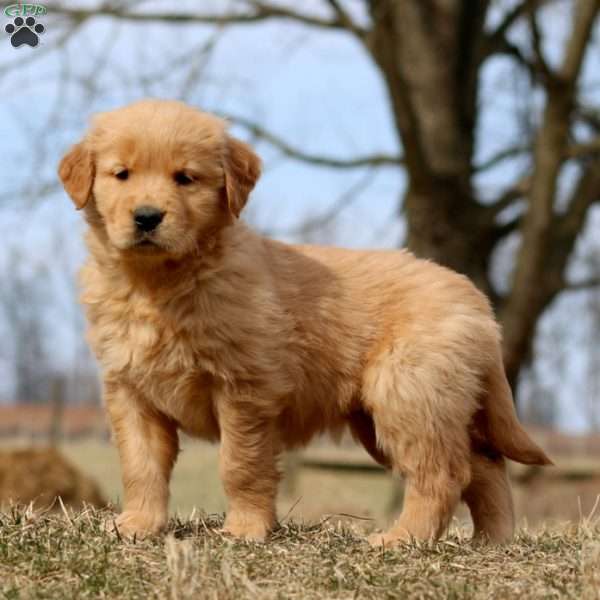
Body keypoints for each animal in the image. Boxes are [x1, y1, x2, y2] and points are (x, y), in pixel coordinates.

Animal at [58, 98, 552, 544]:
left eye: (185, 178)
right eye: (121, 174)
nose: (146, 217)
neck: (159, 283)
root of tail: (474, 300)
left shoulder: (245, 388)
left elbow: (240, 465)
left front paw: (245, 530)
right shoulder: (130, 390)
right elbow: (140, 466)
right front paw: (138, 525)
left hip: (409, 396)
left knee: (443, 473)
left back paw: (402, 539)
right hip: (398, 413)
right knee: (484, 465)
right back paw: (492, 540)